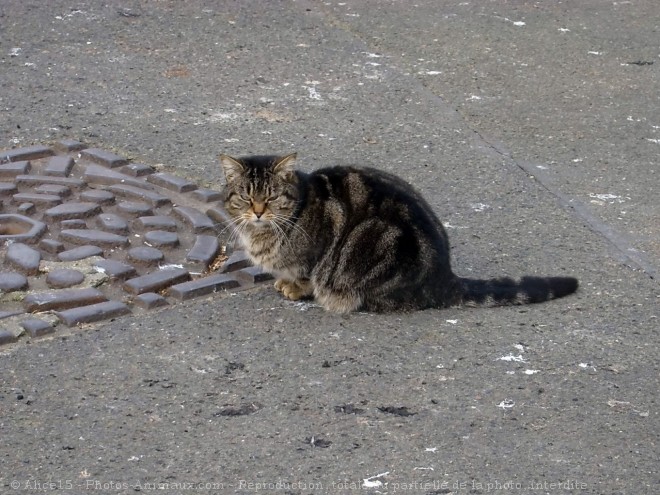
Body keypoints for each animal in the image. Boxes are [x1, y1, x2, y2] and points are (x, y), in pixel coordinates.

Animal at [220, 153, 576, 314]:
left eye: (270, 197)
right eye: (246, 197)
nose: (258, 211)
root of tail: (445, 276)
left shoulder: (314, 257)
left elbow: (306, 276)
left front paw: (294, 287)